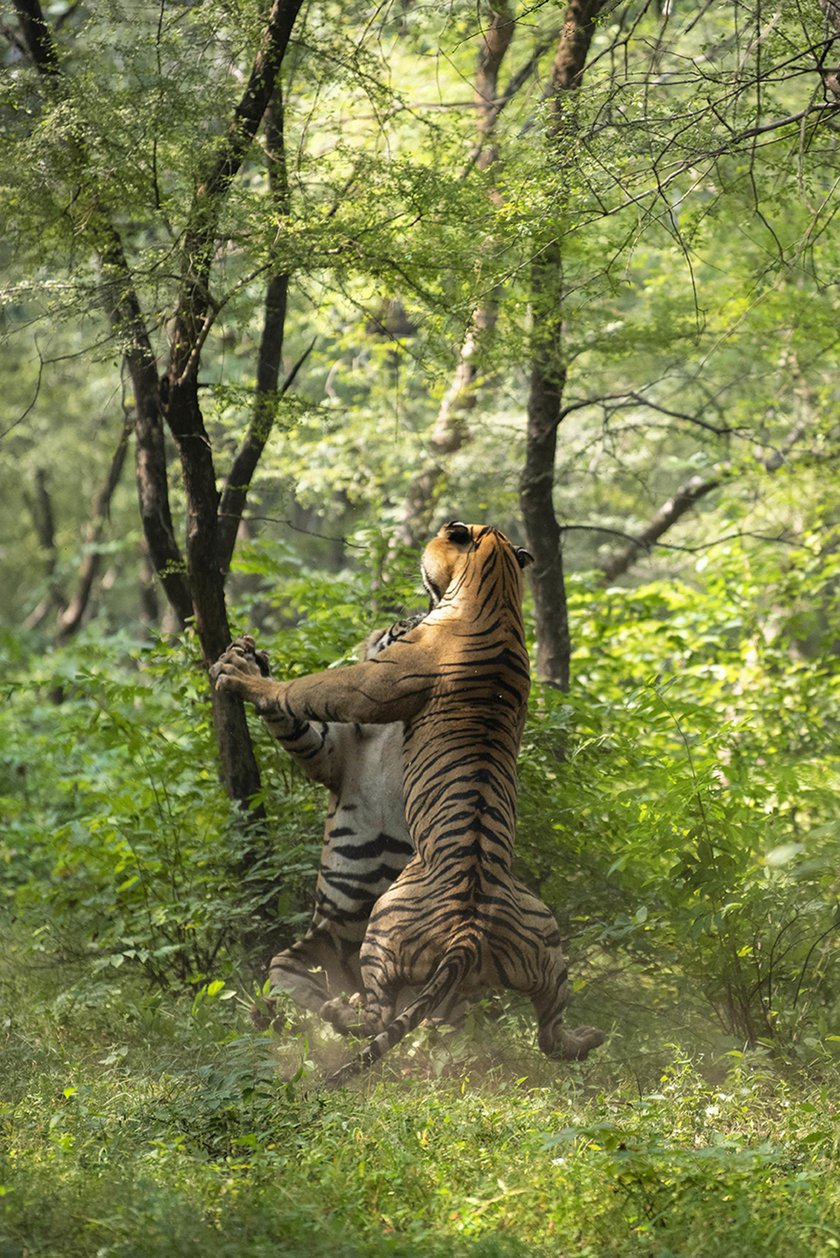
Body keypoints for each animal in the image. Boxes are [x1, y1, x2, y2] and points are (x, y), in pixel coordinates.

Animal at [216, 616, 422, 1021]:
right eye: (405, 624)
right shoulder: (326, 753)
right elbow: (291, 722)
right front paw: (250, 661)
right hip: (295, 959)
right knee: (315, 1009)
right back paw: (335, 1010)